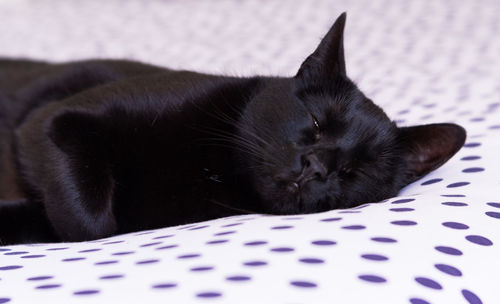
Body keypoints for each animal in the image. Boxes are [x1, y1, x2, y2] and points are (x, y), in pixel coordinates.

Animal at [0, 13, 464, 245]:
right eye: (316, 124)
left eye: (357, 171)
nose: (314, 167)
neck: (211, 169)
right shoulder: (53, 120)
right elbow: (89, 218)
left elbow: (91, 226)